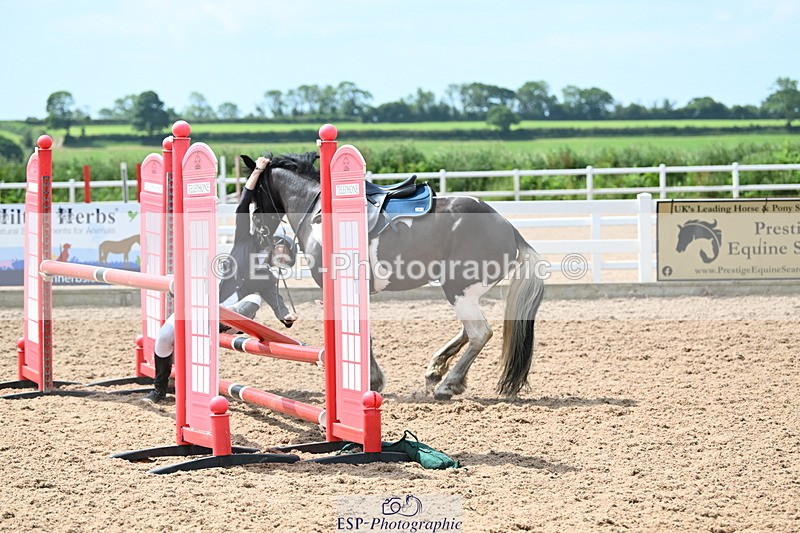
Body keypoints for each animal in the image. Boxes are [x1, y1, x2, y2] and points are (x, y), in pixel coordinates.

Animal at [244, 152, 544, 400]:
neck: (319, 214)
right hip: (465, 293)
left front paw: (372, 381)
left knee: (479, 333)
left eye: (255, 191)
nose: (256, 231)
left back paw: (447, 385)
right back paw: (436, 369)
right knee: (468, 331)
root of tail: (508, 228)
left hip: (458, 290)